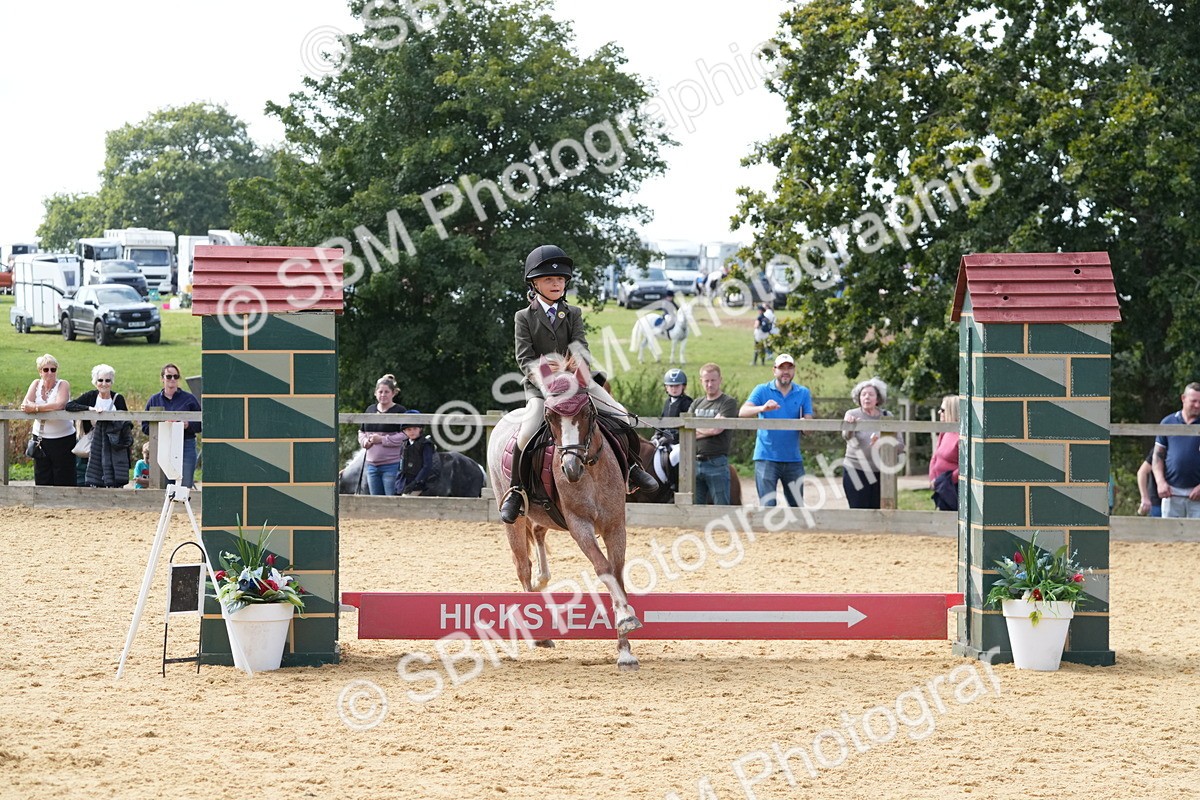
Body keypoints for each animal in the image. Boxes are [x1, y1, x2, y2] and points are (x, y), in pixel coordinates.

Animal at [487, 358, 642, 670]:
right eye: (549, 417)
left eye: (587, 412)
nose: (570, 468)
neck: (591, 468)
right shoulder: (580, 525)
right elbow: (604, 568)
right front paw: (626, 618)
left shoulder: (615, 525)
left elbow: (617, 574)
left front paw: (625, 651)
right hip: (513, 516)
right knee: (522, 566)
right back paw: (538, 635)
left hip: (543, 515)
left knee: (538, 535)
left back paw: (543, 581)